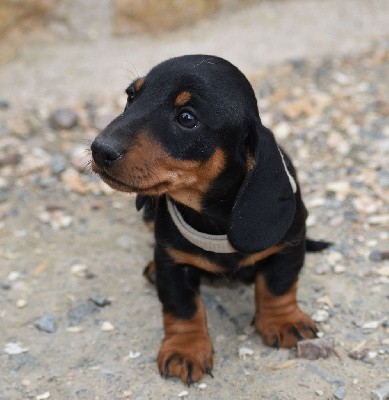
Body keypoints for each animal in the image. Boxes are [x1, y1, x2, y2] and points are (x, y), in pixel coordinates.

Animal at [90, 54, 328, 384]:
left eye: (187, 118)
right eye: (131, 96)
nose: (99, 150)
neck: (213, 218)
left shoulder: (288, 247)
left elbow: (278, 286)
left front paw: (283, 320)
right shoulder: (173, 261)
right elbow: (183, 307)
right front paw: (185, 350)